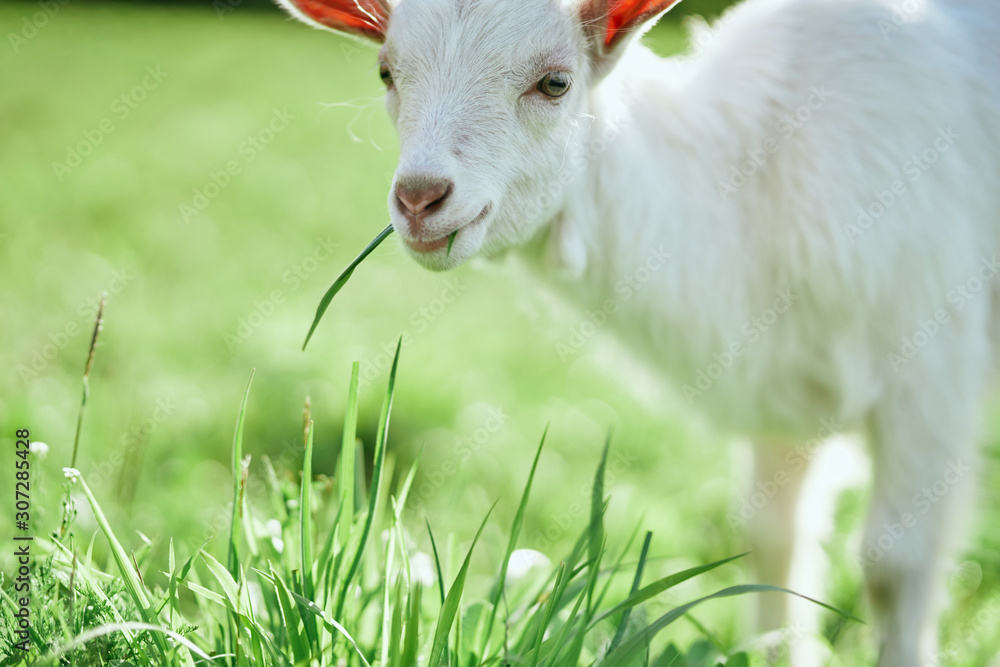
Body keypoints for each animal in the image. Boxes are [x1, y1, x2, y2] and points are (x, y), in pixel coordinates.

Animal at [275, 0, 1000, 663]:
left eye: (556, 82)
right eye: (386, 71)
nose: (420, 197)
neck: (752, 188)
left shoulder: (931, 360)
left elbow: (893, 564)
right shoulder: (778, 379)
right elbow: (772, 539)